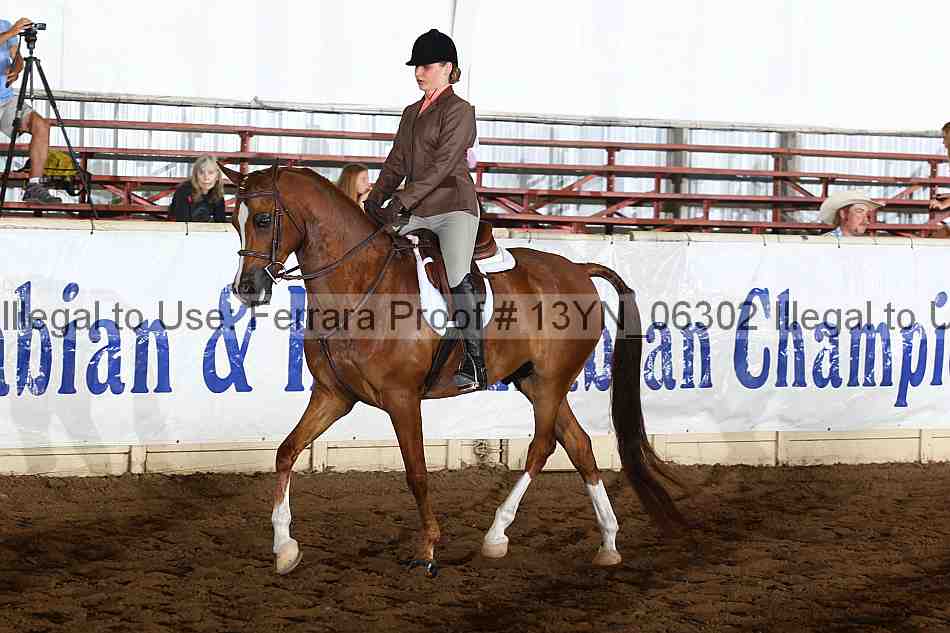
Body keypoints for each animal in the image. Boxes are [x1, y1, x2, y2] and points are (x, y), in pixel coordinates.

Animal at [222, 163, 682, 577]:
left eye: (263, 219)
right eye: (233, 221)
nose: (246, 289)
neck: (361, 286)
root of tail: (578, 270)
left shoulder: (402, 400)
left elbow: (417, 474)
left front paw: (427, 550)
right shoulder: (334, 396)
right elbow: (286, 452)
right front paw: (284, 547)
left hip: (550, 382)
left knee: (542, 447)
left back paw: (496, 535)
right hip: (533, 381)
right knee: (580, 445)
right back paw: (608, 542)